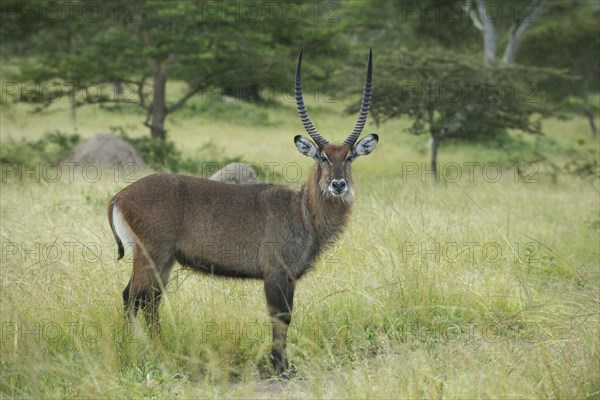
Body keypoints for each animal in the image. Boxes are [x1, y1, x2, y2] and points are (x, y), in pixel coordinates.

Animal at [108, 48, 378, 376]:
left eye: (349, 157)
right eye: (323, 158)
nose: (338, 184)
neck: (302, 211)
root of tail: (119, 196)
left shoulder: (287, 277)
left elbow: (283, 318)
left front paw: (282, 365)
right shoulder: (276, 273)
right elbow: (281, 318)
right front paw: (281, 368)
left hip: (165, 262)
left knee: (150, 303)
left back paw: (163, 352)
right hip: (150, 256)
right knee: (132, 298)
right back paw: (142, 352)